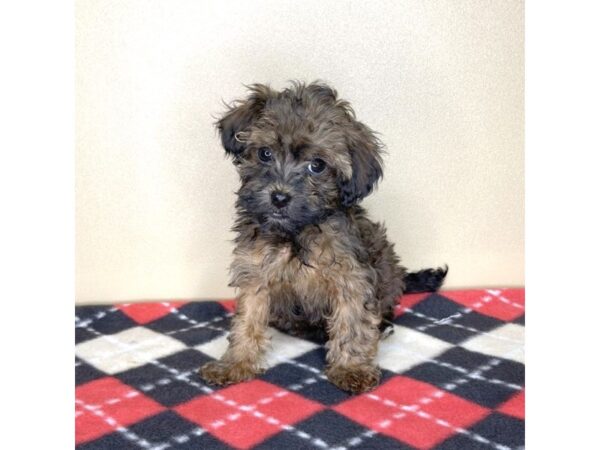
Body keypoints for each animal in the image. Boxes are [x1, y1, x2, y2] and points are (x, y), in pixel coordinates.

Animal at [199, 81, 448, 394]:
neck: (296, 233)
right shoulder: (255, 271)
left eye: (317, 165)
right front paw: (235, 362)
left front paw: (351, 368)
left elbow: (352, 323)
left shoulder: (351, 278)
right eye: (265, 153)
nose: (279, 197)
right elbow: (247, 320)